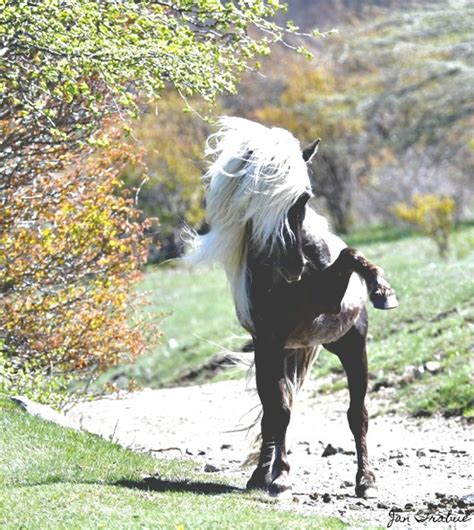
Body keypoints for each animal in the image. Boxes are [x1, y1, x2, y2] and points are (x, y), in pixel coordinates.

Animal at [187, 117, 398, 498]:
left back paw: (366, 480)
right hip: (273, 354)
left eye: (304, 199)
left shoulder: (326, 300)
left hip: (351, 346)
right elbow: (278, 412)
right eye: (257, 202)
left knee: (355, 414)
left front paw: (381, 289)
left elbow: (351, 255)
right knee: (275, 411)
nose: (293, 267)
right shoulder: (272, 338)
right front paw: (277, 475)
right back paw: (266, 474)